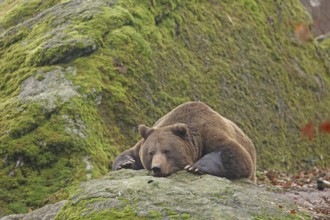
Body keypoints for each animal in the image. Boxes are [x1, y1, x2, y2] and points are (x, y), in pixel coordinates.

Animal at [112, 101, 256, 182]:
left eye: (167, 150)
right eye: (150, 152)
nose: (157, 168)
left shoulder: (208, 132)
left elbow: (236, 153)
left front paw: (194, 167)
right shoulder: (145, 140)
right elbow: (131, 152)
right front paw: (125, 163)